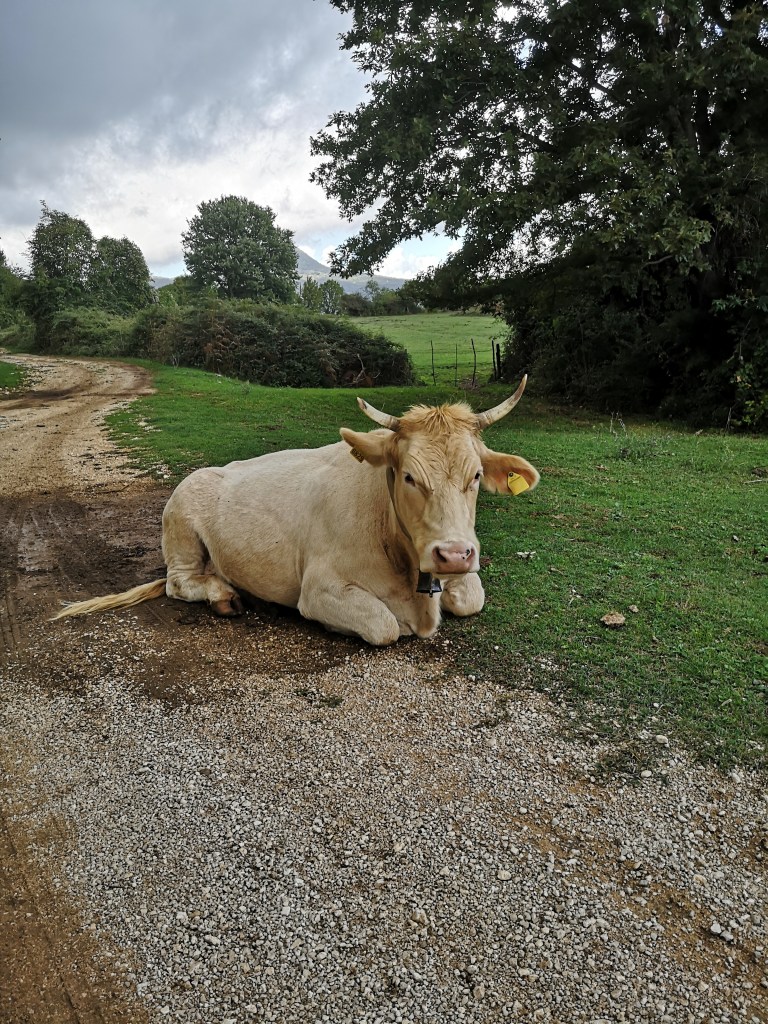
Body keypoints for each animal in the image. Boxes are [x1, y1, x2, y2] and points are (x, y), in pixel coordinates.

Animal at [53, 377, 539, 645]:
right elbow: (384, 625)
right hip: (182, 532)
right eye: (408, 477)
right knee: (179, 582)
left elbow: (471, 598)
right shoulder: (319, 590)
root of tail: (199, 475)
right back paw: (225, 595)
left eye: (476, 475)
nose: (454, 554)